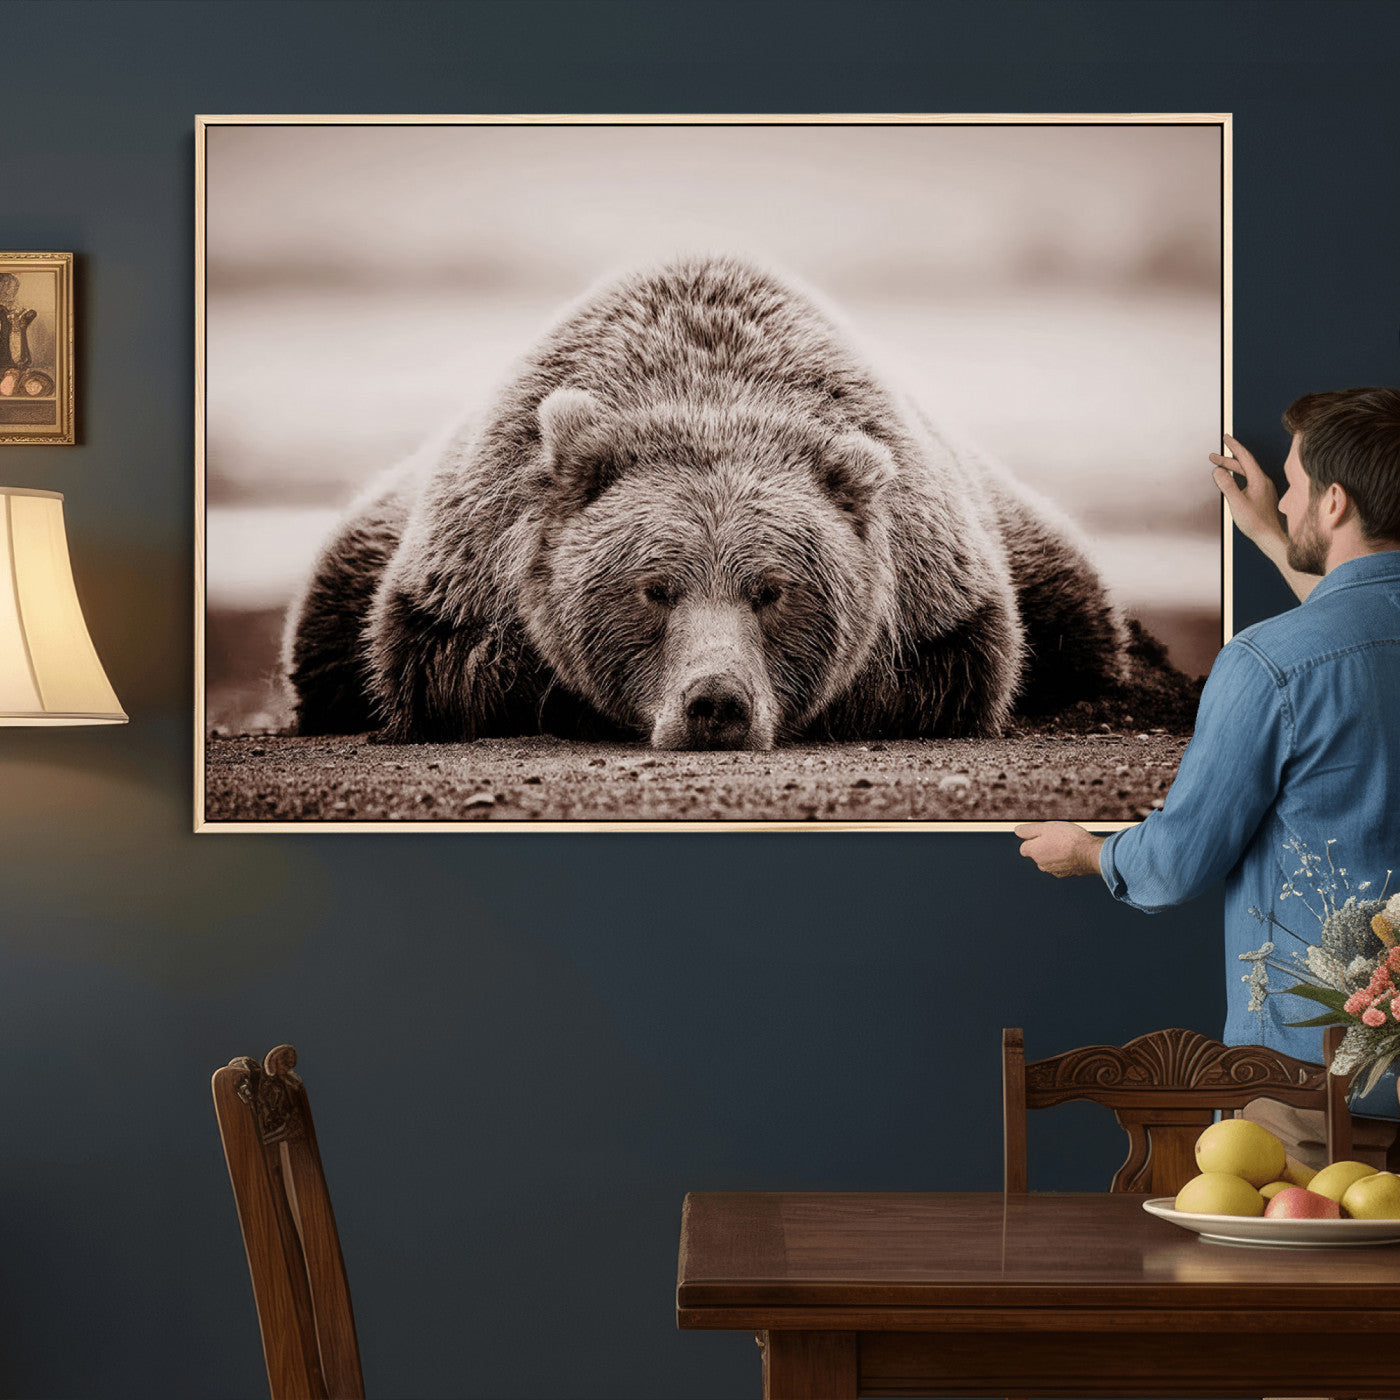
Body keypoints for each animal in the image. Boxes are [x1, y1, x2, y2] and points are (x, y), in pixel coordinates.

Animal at [284, 254, 1124, 749]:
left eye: (773, 590)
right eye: (655, 588)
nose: (716, 703)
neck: (708, 392)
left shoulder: (935, 585)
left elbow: (952, 669)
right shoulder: (469, 566)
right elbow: (444, 666)